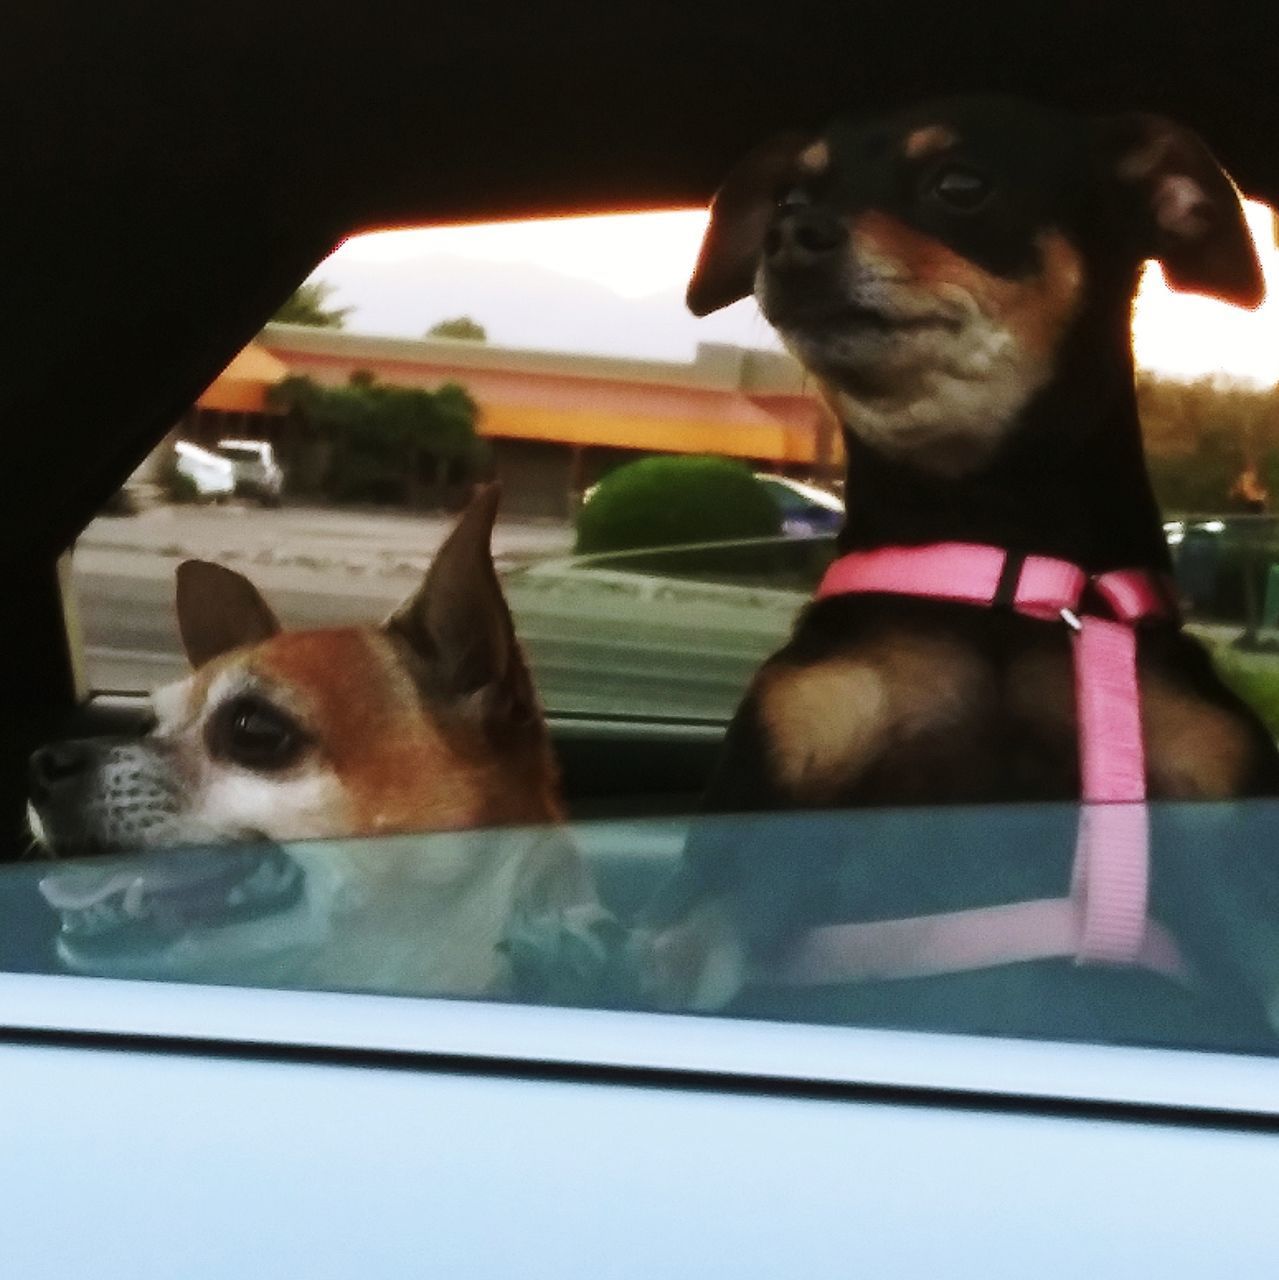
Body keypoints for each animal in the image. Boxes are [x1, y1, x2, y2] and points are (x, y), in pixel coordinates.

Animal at [655, 97, 1279, 1018]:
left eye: (960, 186)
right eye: (788, 196)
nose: (788, 234)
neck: (997, 561)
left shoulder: (1231, 853)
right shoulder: (734, 868)